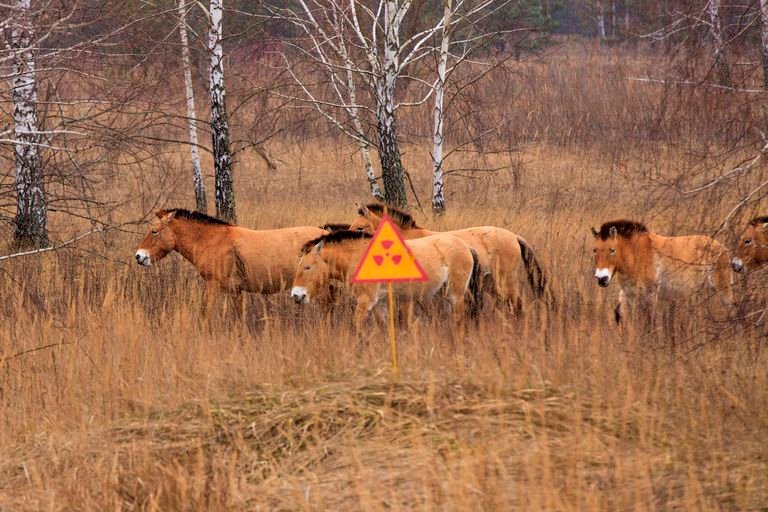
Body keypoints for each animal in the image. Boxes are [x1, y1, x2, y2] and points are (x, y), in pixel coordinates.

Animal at [290, 230, 481, 337]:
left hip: (455, 294)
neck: (360, 258)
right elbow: (383, 328)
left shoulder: (366, 301)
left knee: (459, 320)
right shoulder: (379, 304)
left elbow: (357, 326)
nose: (296, 295)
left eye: (307, 267)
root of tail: (466, 246)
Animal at [591, 220, 733, 323]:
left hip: (723, 291)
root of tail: (722, 248)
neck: (636, 255)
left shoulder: (650, 295)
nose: (602, 278)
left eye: (612, 250)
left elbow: (650, 321)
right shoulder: (628, 294)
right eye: (594, 250)